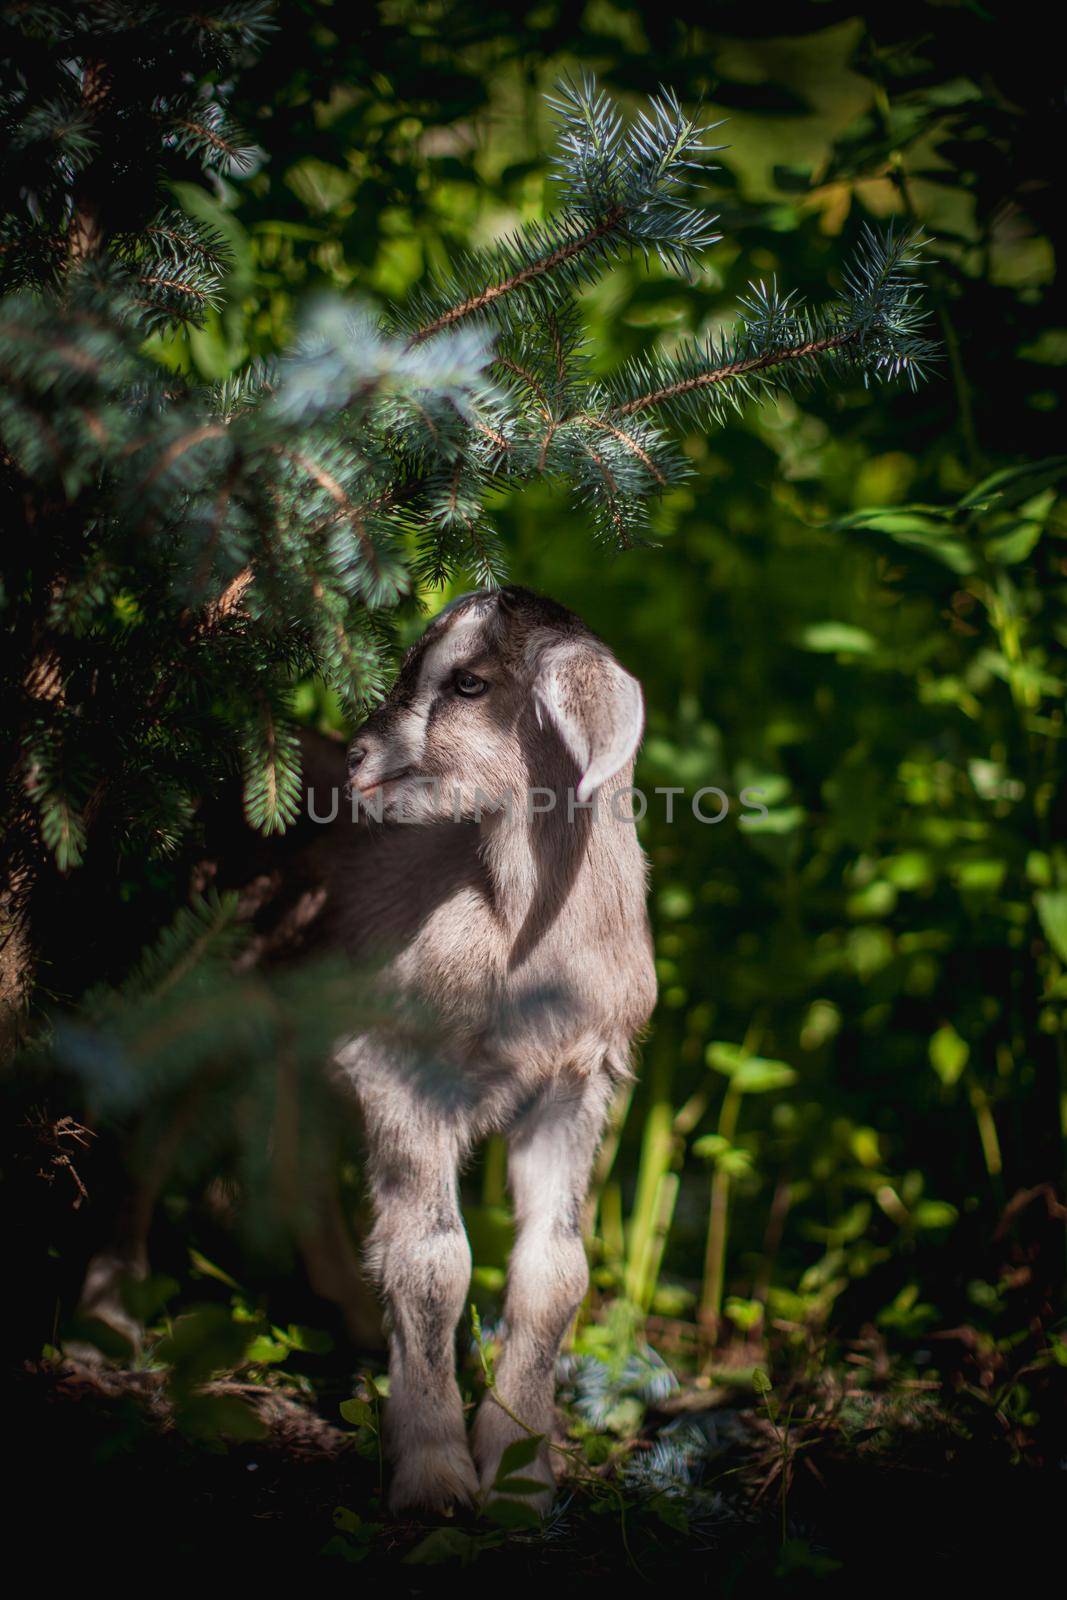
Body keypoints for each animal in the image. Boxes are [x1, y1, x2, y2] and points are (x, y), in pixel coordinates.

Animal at [334, 592, 655, 1510]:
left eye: (470, 683)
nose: (355, 757)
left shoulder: (571, 1092)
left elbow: (555, 1272)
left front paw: (518, 1471)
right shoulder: (394, 1068)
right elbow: (432, 1260)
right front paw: (436, 1471)